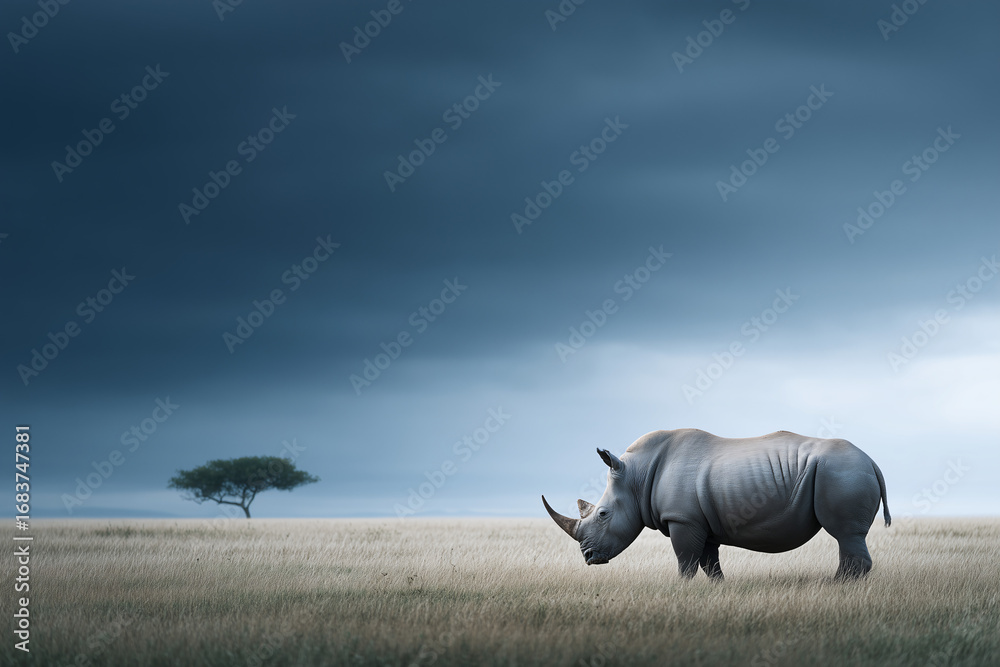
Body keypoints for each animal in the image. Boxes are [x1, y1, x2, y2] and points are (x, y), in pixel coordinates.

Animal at [542, 428, 890, 579]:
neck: (636, 476)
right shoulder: (699, 521)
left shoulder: (682, 519)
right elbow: (709, 563)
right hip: (844, 471)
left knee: (845, 534)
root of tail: (873, 462)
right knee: (848, 538)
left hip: (842, 472)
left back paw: (838, 587)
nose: (588, 558)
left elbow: (685, 561)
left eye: (602, 514)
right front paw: (718, 590)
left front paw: (682, 589)